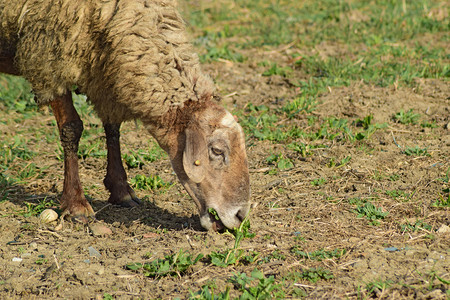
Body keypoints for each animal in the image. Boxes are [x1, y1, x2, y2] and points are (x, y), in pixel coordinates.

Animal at [0, 0, 251, 231]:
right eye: (217, 151)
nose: (240, 215)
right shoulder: (48, 57)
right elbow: (71, 128)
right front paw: (76, 204)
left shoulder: (102, 69)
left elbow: (113, 127)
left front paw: (121, 190)